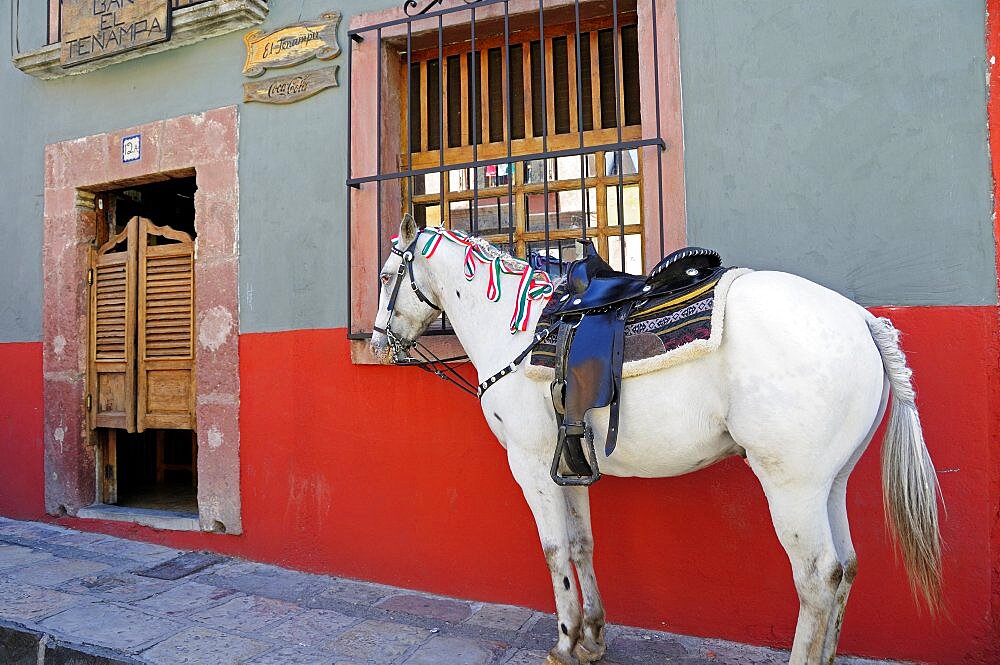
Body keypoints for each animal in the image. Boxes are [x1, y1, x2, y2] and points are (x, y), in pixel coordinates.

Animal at [372, 215, 940, 660]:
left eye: (385, 276)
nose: (378, 342)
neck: (518, 330)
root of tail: (862, 319)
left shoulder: (532, 464)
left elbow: (554, 549)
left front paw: (564, 642)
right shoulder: (569, 461)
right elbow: (582, 543)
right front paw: (593, 638)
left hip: (793, 486)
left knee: (818, 577)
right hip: (831, 480)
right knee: (845, 569)